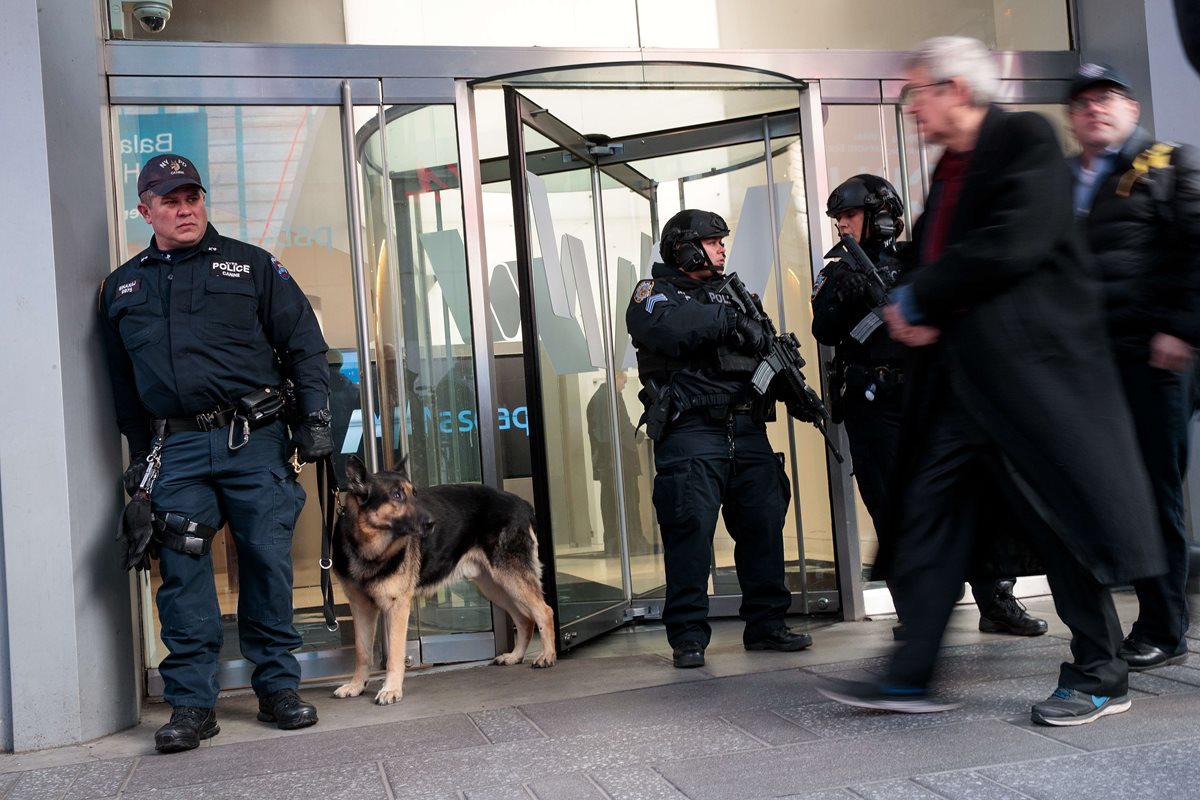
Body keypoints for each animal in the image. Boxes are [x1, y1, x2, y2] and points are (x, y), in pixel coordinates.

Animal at [333, 453, 556, 705]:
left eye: (415, 493)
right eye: (397, 495)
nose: (432, 523)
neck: (369, 548)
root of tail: (522, 503)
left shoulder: (397, 607)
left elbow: (395, 654)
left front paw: (391, 689)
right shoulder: (361, 608)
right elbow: (362, 653)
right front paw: (356, 685)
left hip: (510, 577)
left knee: (544, 611)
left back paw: (547, 655)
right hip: (495, 586)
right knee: (525, 618)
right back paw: (515, 656)